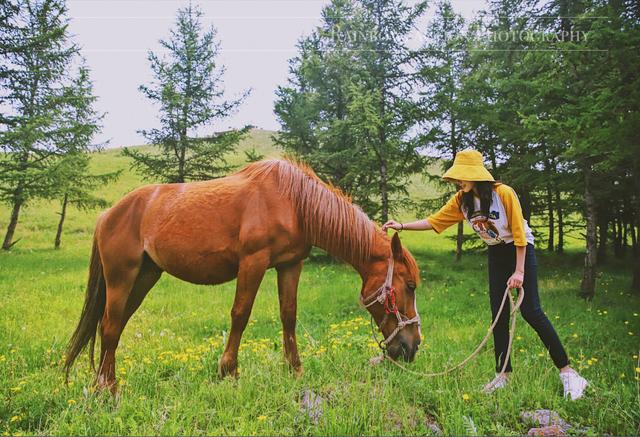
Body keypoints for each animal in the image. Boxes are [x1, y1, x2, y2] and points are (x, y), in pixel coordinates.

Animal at [63, 158, 420, 390]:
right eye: (410, 285)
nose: (413, 345)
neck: (294, 202)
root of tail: (109, 213)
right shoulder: (253, 262)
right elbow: (241, 313)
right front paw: (229, 371)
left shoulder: (290, 265)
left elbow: (288, 315)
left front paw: (295, 369)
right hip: (121, 278)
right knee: (110, 326)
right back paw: (108, 388)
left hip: (145, 277)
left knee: (114, 326)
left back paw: (105, 381)